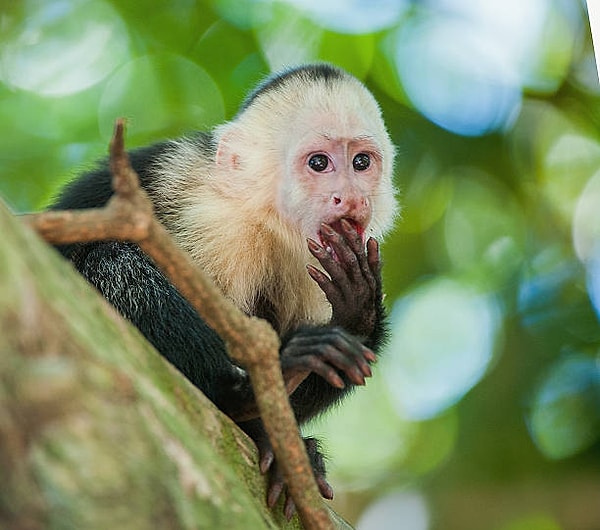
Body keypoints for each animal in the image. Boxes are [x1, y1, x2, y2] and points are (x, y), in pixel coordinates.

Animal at [50, 63, 398, 516]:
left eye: (360, 162)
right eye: (319, 163)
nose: (352, 198)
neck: (264, 218)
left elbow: (346, 356)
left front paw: (356, 310)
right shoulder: (213, 223)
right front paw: (259, 418)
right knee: (114, 261)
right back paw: (241, 393)